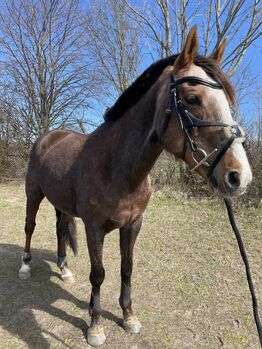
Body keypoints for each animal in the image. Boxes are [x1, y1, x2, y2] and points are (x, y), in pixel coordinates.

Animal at [17, 26, 252, 346]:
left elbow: (126, 268)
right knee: (29, 227)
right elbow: (98, 274)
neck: (119, 167)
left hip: (60, 202)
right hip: (34, 194)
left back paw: (64, 269)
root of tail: (47, 137)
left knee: (60, 229)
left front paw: (128, 317)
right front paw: (95, 326)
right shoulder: (94, 229)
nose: (239, 177)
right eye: (192, 98)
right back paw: (25, 266)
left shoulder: (133, 225)